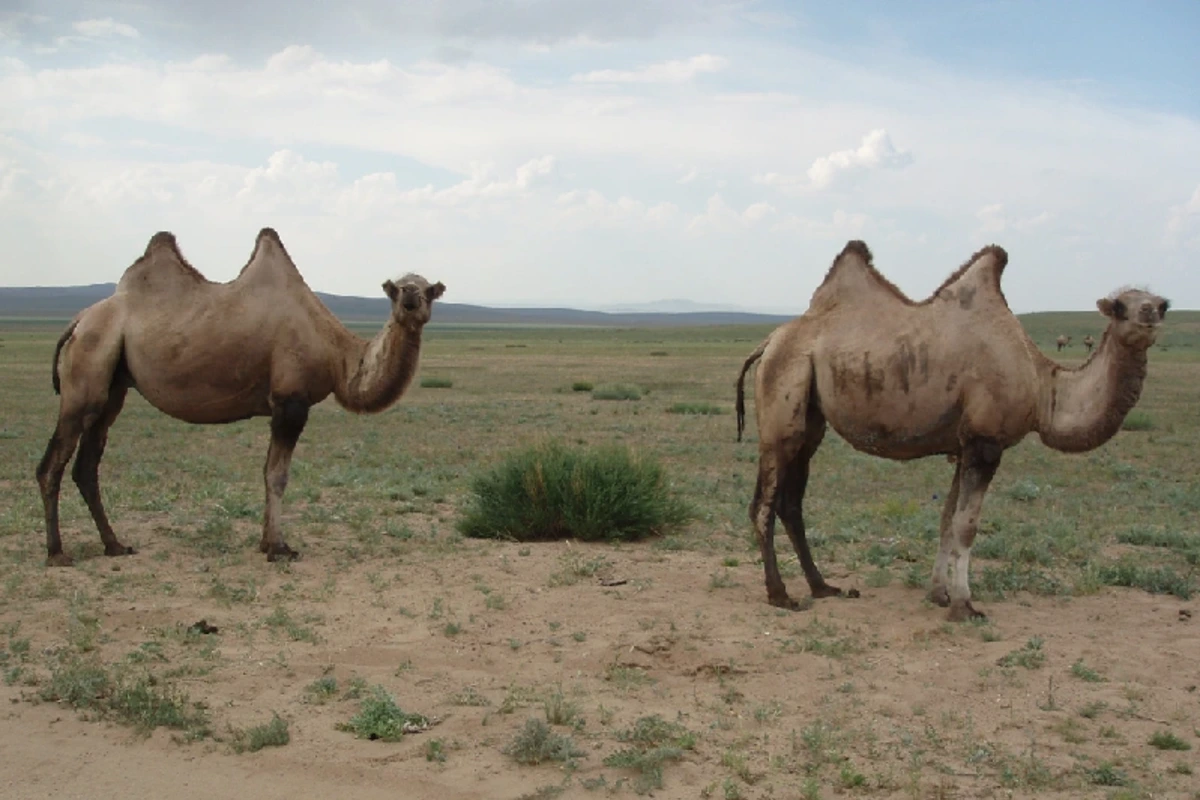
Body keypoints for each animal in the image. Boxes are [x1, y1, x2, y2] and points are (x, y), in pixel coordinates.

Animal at [35, 228, 445, 566]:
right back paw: (57, 553)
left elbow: (266, 472)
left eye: (428, 291)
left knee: (86, 465)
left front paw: (266, 544)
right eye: (397, 290)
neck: (337, 354)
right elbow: (277, 475)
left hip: (114, 388)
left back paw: (115, 545)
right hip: (87, 371)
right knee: (52, 464)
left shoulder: (281, 406)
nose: (411, 300)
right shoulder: (290, 401)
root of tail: (78, 321)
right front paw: (280, 548)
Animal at [735, 240, 1168, 621]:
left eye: (1162, 304)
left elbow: (947, 519)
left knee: (791, 503)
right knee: (764, 505)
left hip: (810, 423)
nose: (1149, 312)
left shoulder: (964, 444)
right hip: (782, 403)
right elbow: (967, 525)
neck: (1043, 385)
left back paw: (823, 586)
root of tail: (770, 341)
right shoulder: (986, 442)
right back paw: (781, 595)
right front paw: (965, 606)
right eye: (1119, 306)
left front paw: (939, 595)